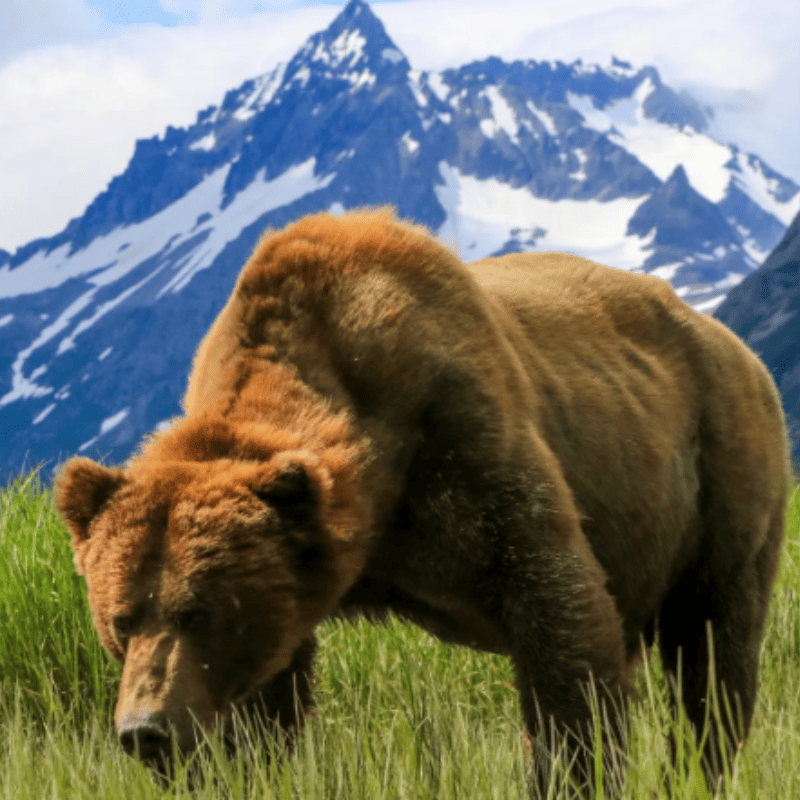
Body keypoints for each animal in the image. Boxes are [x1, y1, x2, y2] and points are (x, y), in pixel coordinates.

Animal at [56, 208, 790, 794]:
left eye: (200, 610)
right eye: (120, 618)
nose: (145, 728)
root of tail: (734, 344)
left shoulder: (462, 437)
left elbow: (561, 616)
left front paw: (570, 773)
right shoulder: (295, 582)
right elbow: (265, 704)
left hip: (720, 466)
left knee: (712, 653)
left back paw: (697, 767)